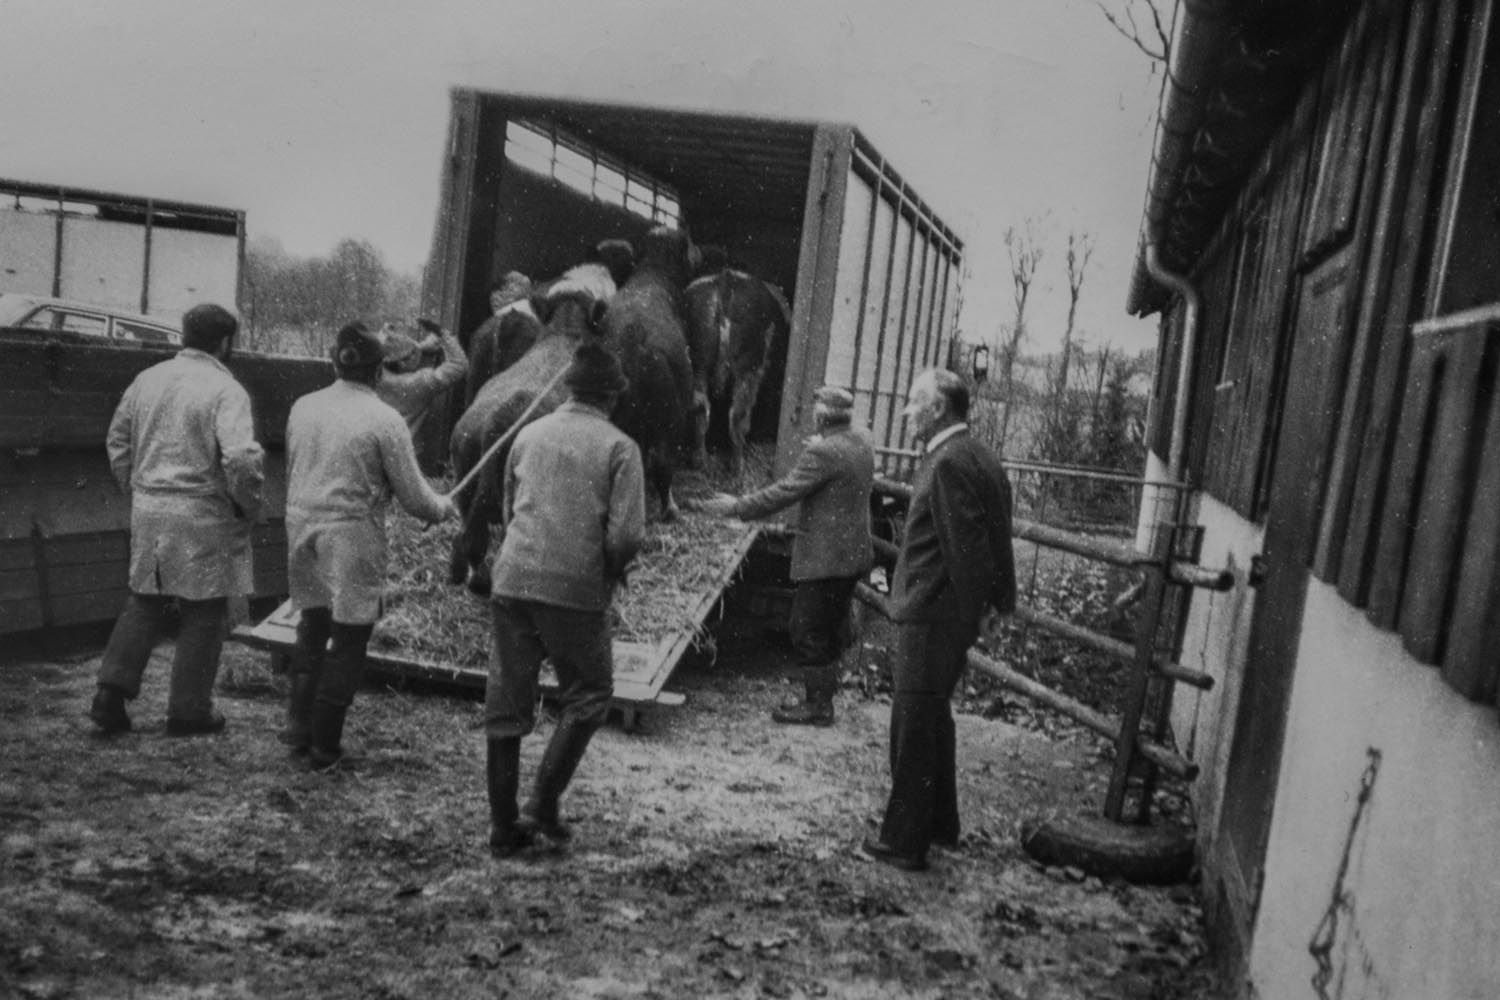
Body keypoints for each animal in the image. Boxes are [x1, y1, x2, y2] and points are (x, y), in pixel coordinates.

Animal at [684, 269, 792, 479]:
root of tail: (724, 282)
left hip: (698, 369)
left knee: (700, 412)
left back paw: (701, 462)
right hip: (747, 371)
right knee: (738, 418)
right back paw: (737, 468)